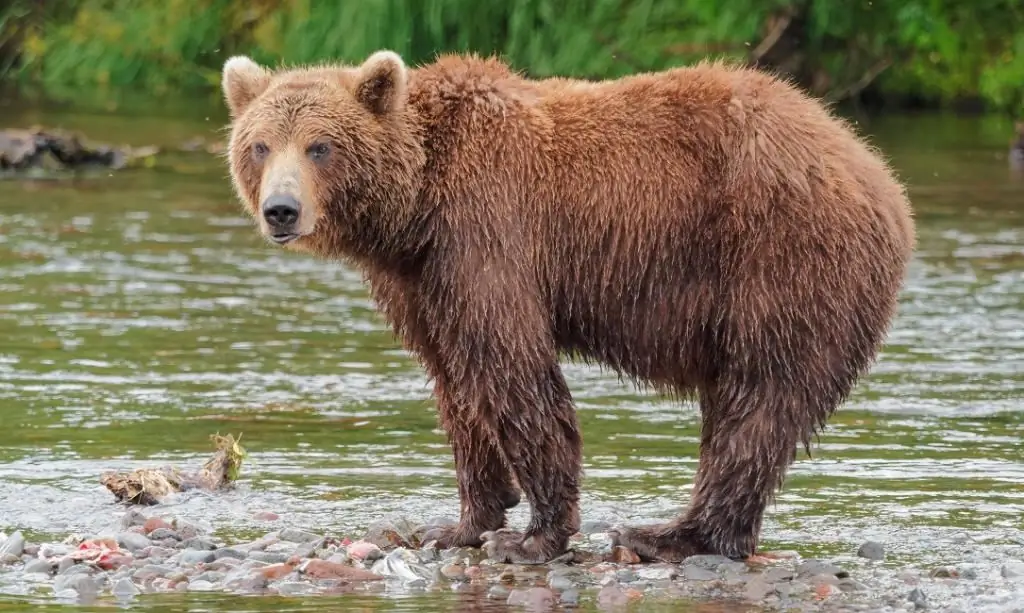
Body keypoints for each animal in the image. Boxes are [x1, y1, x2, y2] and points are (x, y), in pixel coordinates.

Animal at [220, 49, 917, 564]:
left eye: (320, 146)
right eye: (260, 145)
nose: (281, 210)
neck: (414, 208)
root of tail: (879, 174)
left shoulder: (486, 232)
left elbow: (512, 369)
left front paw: (533, 535)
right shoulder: (421, 281)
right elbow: (455, 382)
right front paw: (459, 522)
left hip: (782, 260)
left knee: (759, 401)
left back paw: (669, 534)